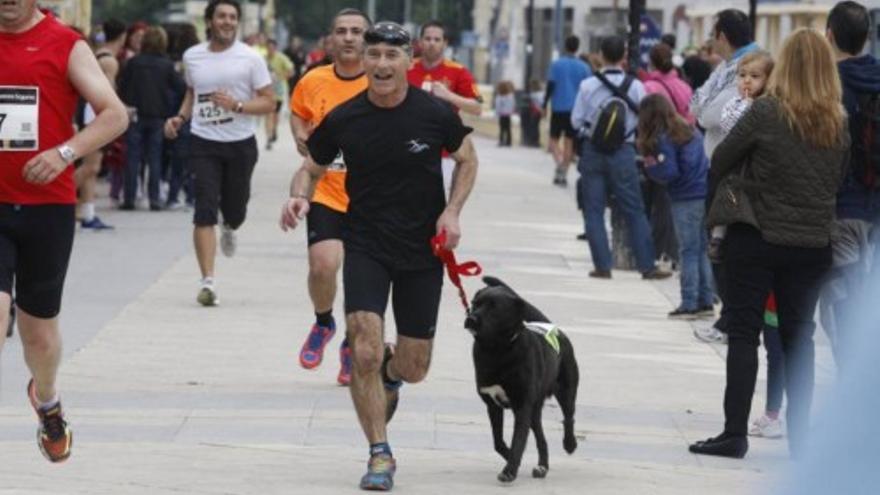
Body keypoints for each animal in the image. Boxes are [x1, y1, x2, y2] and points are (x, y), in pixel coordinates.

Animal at [464, 280, 580, 484]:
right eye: (474, 303)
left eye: (494, 308)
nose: (471, 319)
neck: (497, 351)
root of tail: (553, 327)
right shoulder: (493, 405)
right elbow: (499, 442)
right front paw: (511, 459)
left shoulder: (522, 406)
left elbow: (518, 440)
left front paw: (510, 471)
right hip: (534, 411)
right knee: (542, 439)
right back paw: (542, 467)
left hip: (566, 391)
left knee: (568, 418)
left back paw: (569, 444)